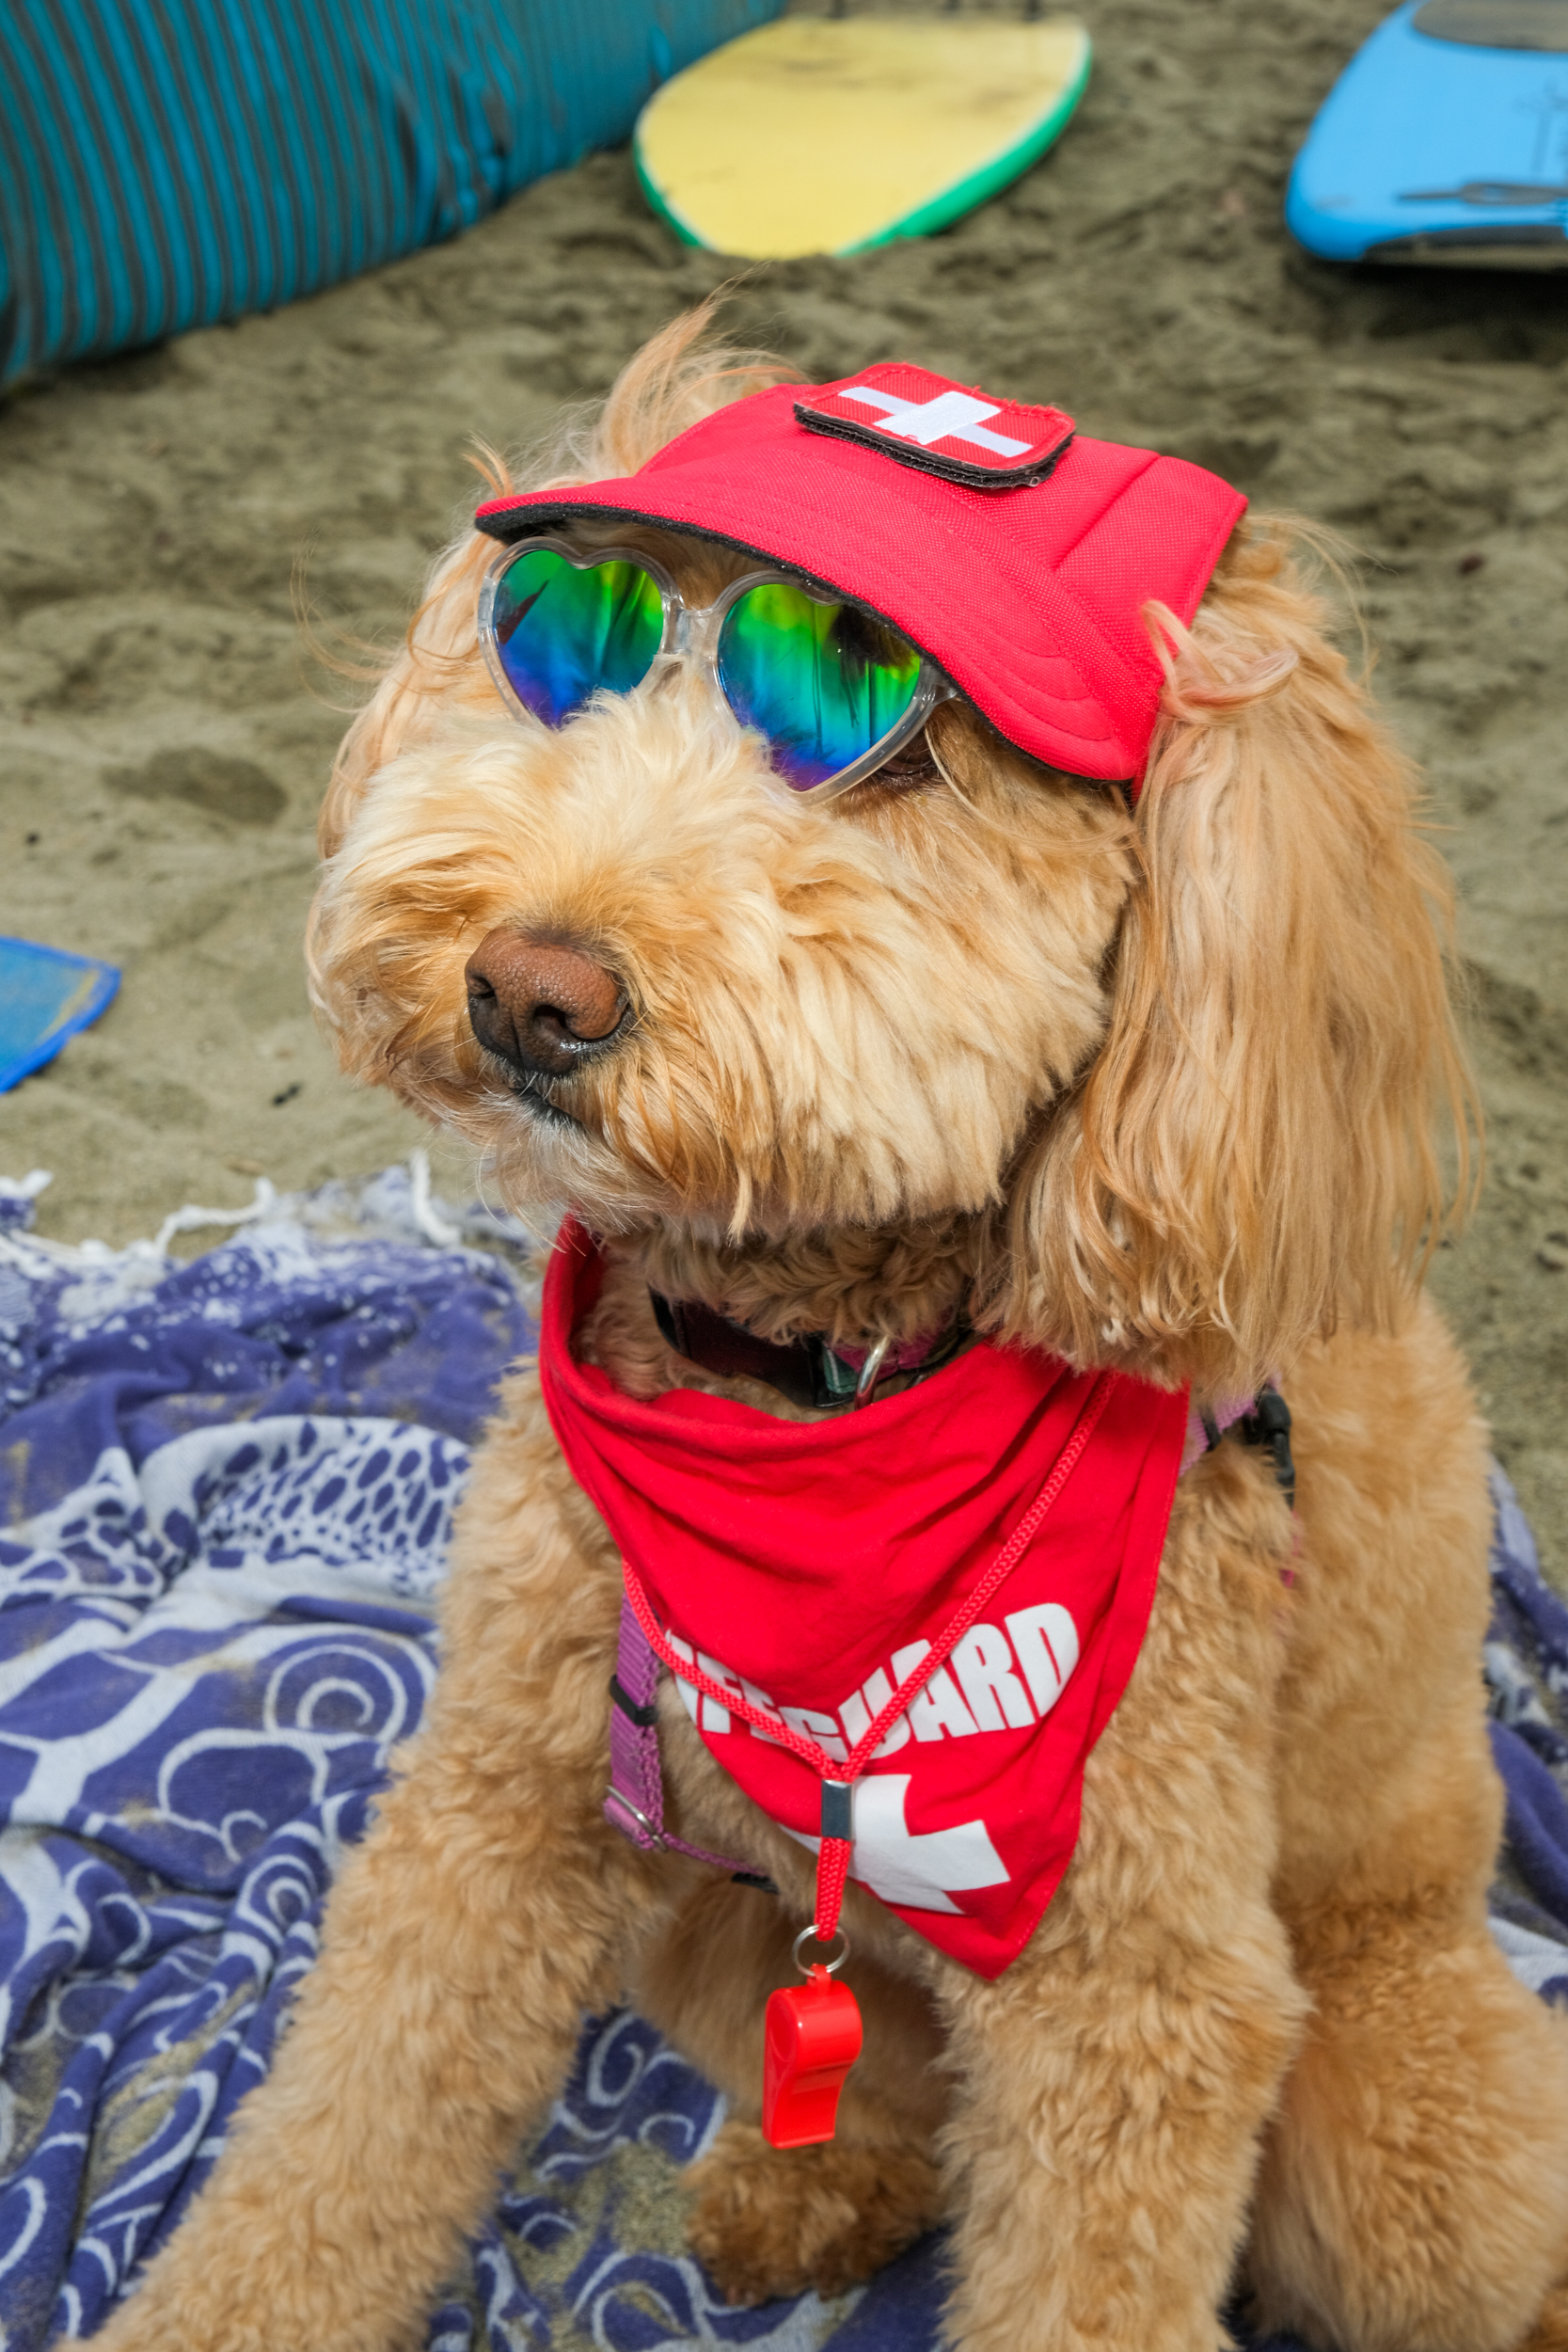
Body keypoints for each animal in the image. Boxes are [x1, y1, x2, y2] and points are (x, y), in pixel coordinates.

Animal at [79, 317, 1568, 2352]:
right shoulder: (495, 1808)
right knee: (880, 2095)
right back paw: (810, 2187)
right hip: (702, 1917)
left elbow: (1088, 2277)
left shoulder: (1136, 1997)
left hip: (1391, 2126)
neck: (805, 1387)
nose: (528, 986)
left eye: (906, 750)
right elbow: (327, 2158)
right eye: (564, 643)